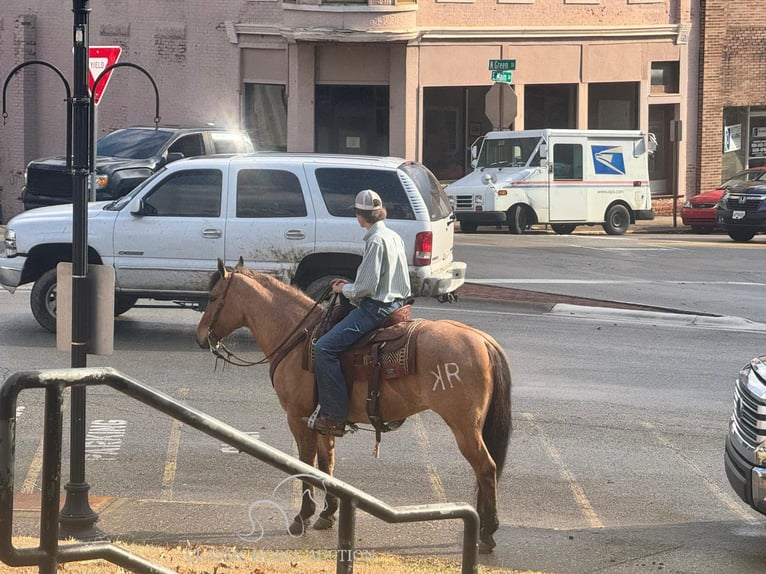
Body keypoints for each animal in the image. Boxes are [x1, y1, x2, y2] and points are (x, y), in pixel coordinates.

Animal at [195, 260, 512, 552]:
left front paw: (303, 517)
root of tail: (483, 340)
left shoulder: (297, 418)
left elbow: (306, 464)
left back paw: (487, 532)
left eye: (213, 297)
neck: (298, 336)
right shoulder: (322, 420)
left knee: (486, 468)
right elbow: (327, 464)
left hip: (464, 427)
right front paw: (327, 514)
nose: (200, 337)